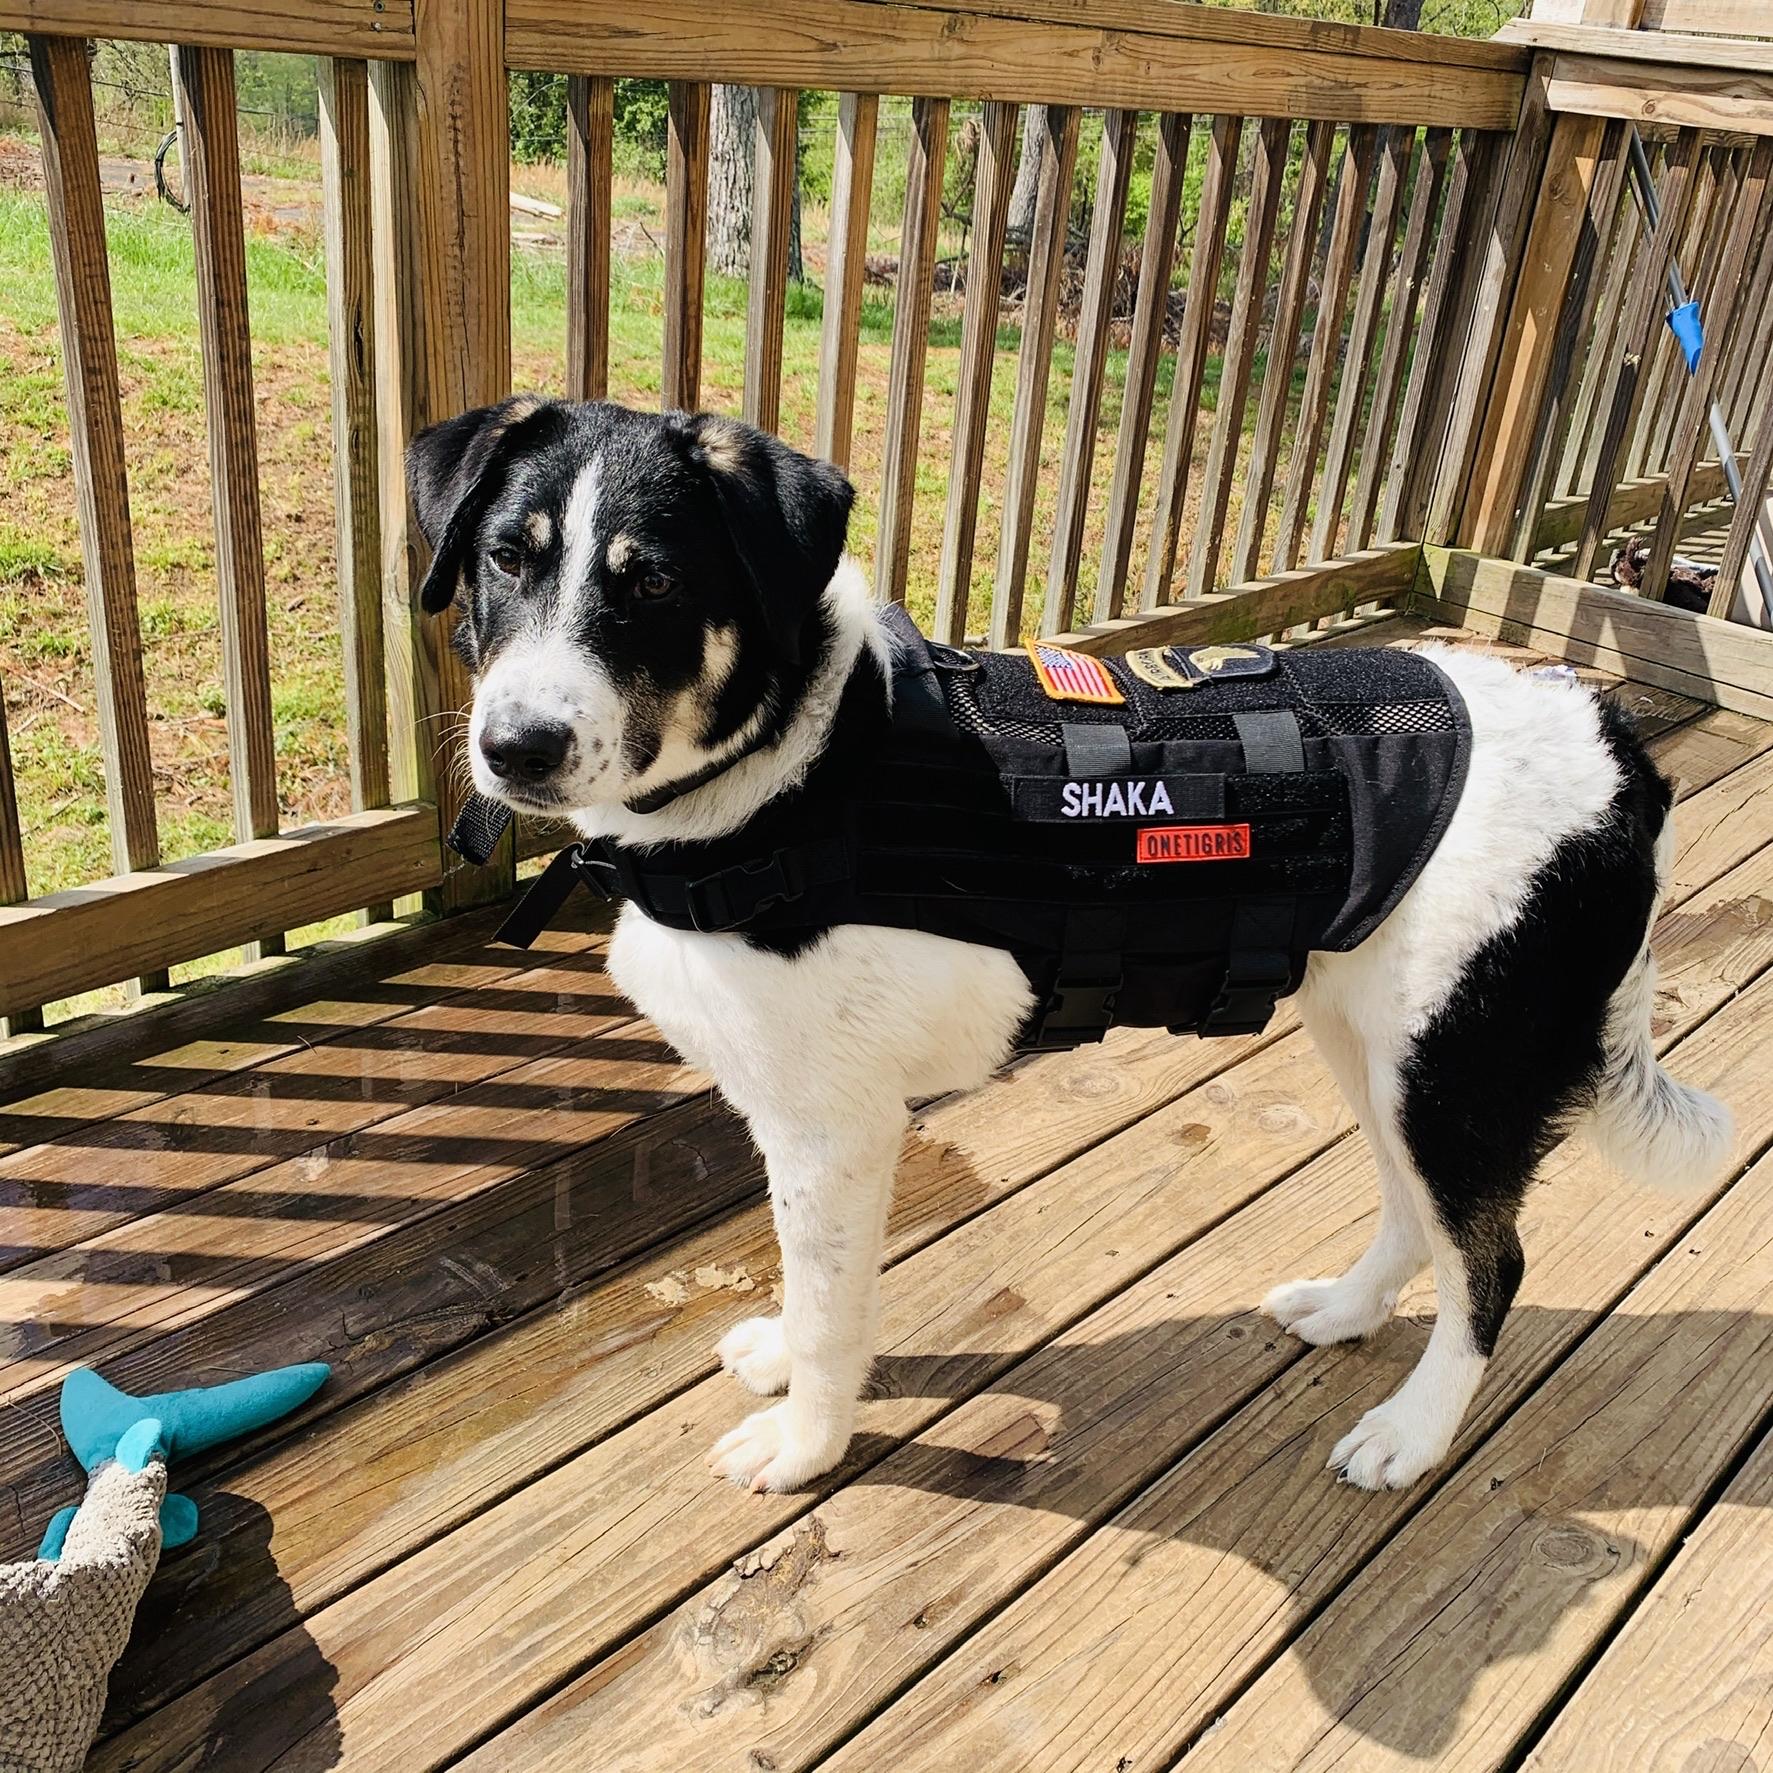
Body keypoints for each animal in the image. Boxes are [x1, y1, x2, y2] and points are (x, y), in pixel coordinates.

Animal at [407, 396, 1735, 1495]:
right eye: (504, 557)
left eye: (653, 587)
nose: (516, 748)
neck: (788, 772)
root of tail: (1618, 747)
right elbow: (806, 1281)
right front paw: (785, 1365)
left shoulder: (837, 1129)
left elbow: (836, 1308)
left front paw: (804, 1446)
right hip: (1376, 1041)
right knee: (1421, 1217)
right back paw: (1347, 1313)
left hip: (1457, 1070)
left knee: (1491, 1262)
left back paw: (1411, 1433)